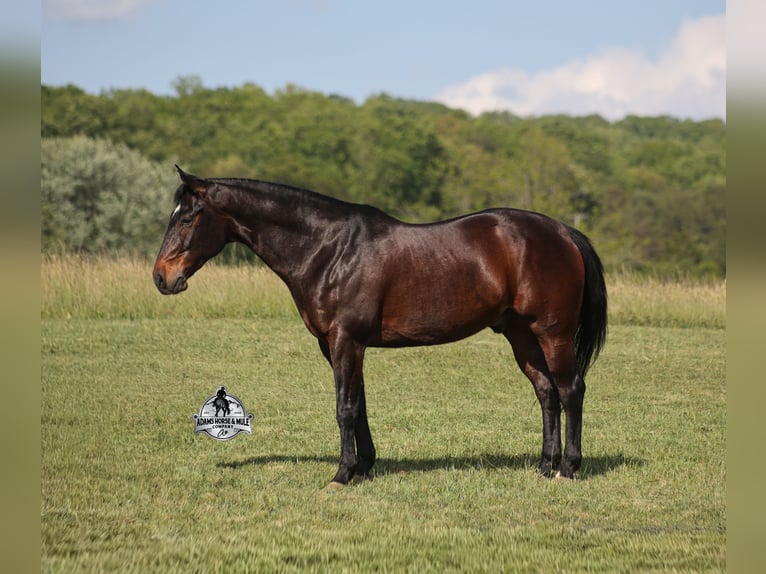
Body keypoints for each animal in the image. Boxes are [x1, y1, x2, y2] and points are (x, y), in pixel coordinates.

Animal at [153, 166, 607, 487]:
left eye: (188, 219)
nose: (161, 277)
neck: (329, 249)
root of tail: (563, 231)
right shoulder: (338, 345)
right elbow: (360, 405)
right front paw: (364, 467)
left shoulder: (346, 341)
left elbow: (345, 408)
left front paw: (341, 474)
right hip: (520, 334)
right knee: (546, 392)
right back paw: (544, 466)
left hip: (552, 332)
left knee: (570, 389)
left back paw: (568, 468)